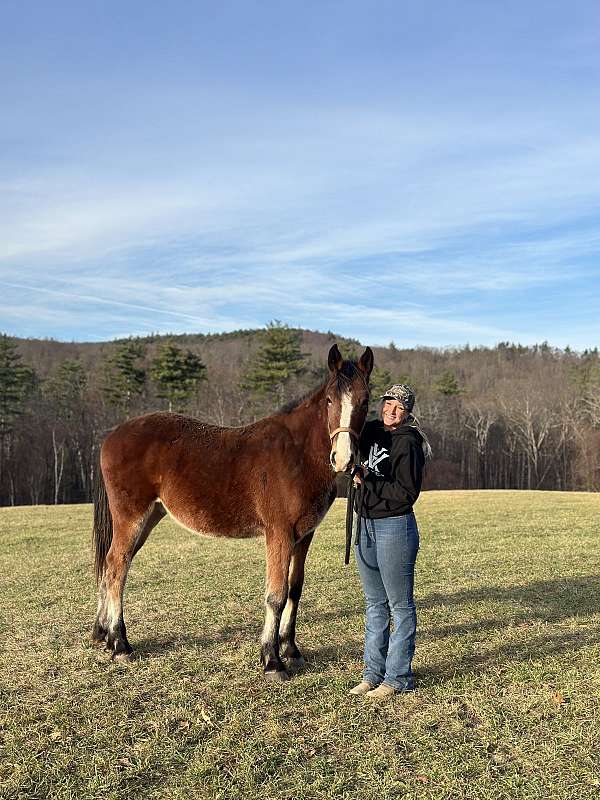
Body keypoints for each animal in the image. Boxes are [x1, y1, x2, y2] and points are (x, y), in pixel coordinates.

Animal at [91, 344, 372, 680]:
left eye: (365, 400)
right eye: (330, 399)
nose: (343, 458)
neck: (297, 454)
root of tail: (111, 435)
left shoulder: (304, 535)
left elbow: (295, 590)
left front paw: (291, 650)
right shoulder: (279, 534)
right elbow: (276, 596)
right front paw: (272, 660)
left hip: (149, 518)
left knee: (111, 568)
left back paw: (103, 636)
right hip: (131, 517)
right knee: (116, 567)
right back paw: (120, 644)